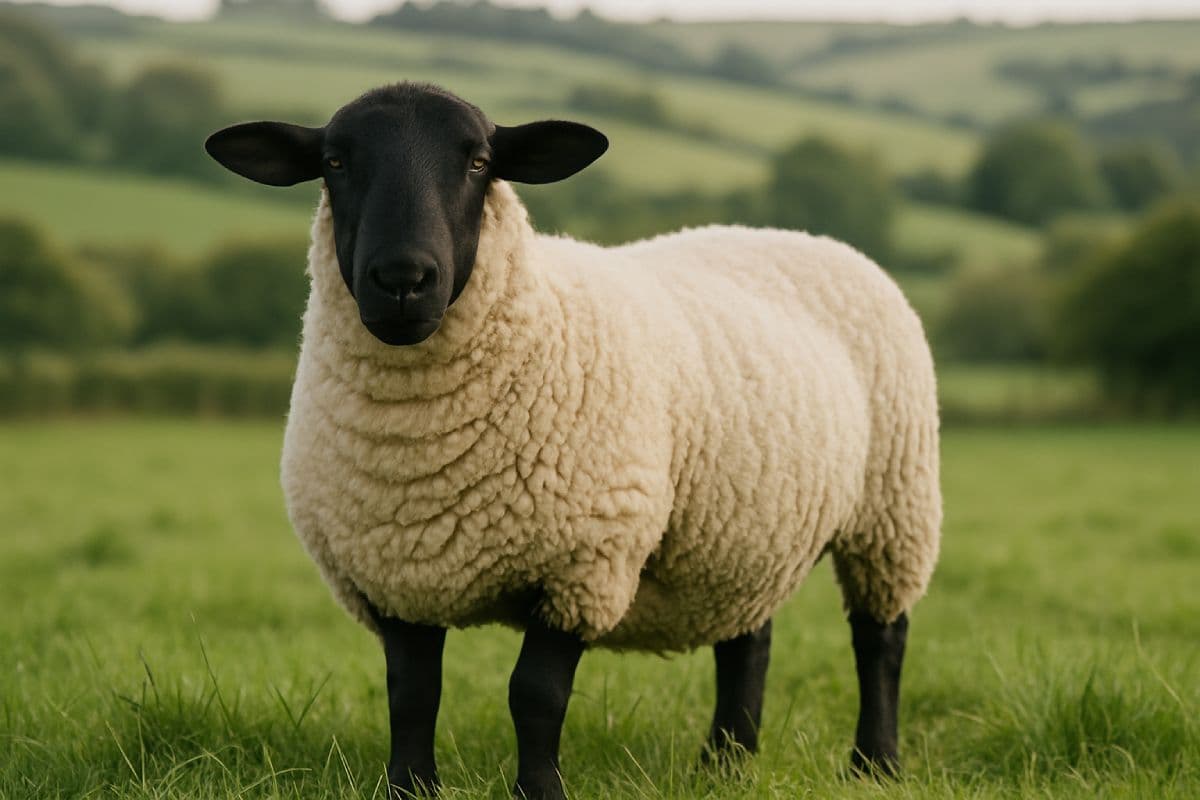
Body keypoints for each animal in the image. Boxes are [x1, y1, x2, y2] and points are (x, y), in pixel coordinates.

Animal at [205, 81, 941, 800]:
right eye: (334, 162)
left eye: (479, 163)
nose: (403, 279)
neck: (420, 448)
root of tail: (791, 234)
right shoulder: (394, 573)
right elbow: (411, 694)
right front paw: (410, 788)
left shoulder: (581, 561)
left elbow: (535, 695)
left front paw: (540, 791)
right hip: (743, 529)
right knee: (747, 641)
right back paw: (724, 768)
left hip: (892, 507)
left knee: (881, 638)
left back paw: (874, 764)